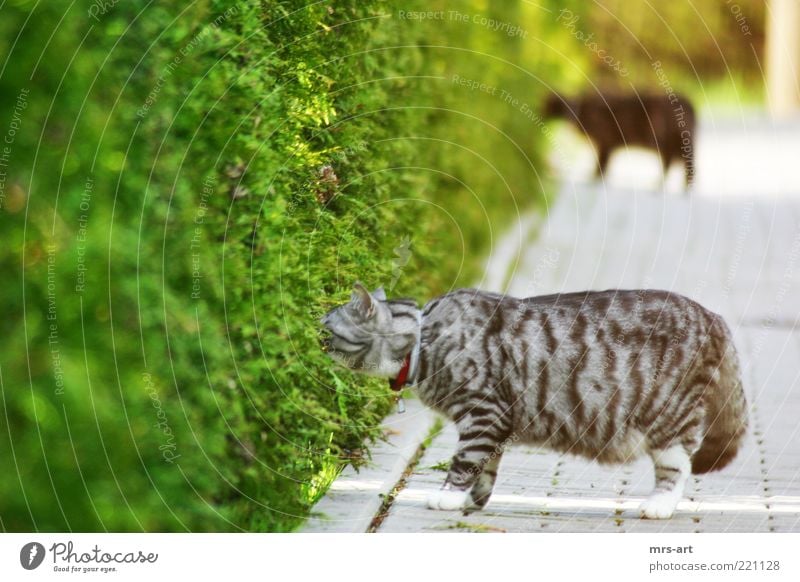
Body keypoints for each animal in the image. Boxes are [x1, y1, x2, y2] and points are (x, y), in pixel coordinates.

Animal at [320, 284, 752, 520]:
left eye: (326, 331)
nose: (310, 337)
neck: (425, 339)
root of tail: (713, 317)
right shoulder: (494, 424)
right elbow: (486, 466)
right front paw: (474, 500)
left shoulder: (483, 414)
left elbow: (464, 461)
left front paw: (448, 495)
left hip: (668, 416)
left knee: (677, 468)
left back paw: (658, 505)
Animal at [544, 92, 692, 189]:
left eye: (568, 108)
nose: (568, 117)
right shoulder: (605, 144)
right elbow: (601, 166)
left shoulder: (606, 143)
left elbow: (601, 166)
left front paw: (595, 178)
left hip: (673, 144)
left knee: (685, 168)